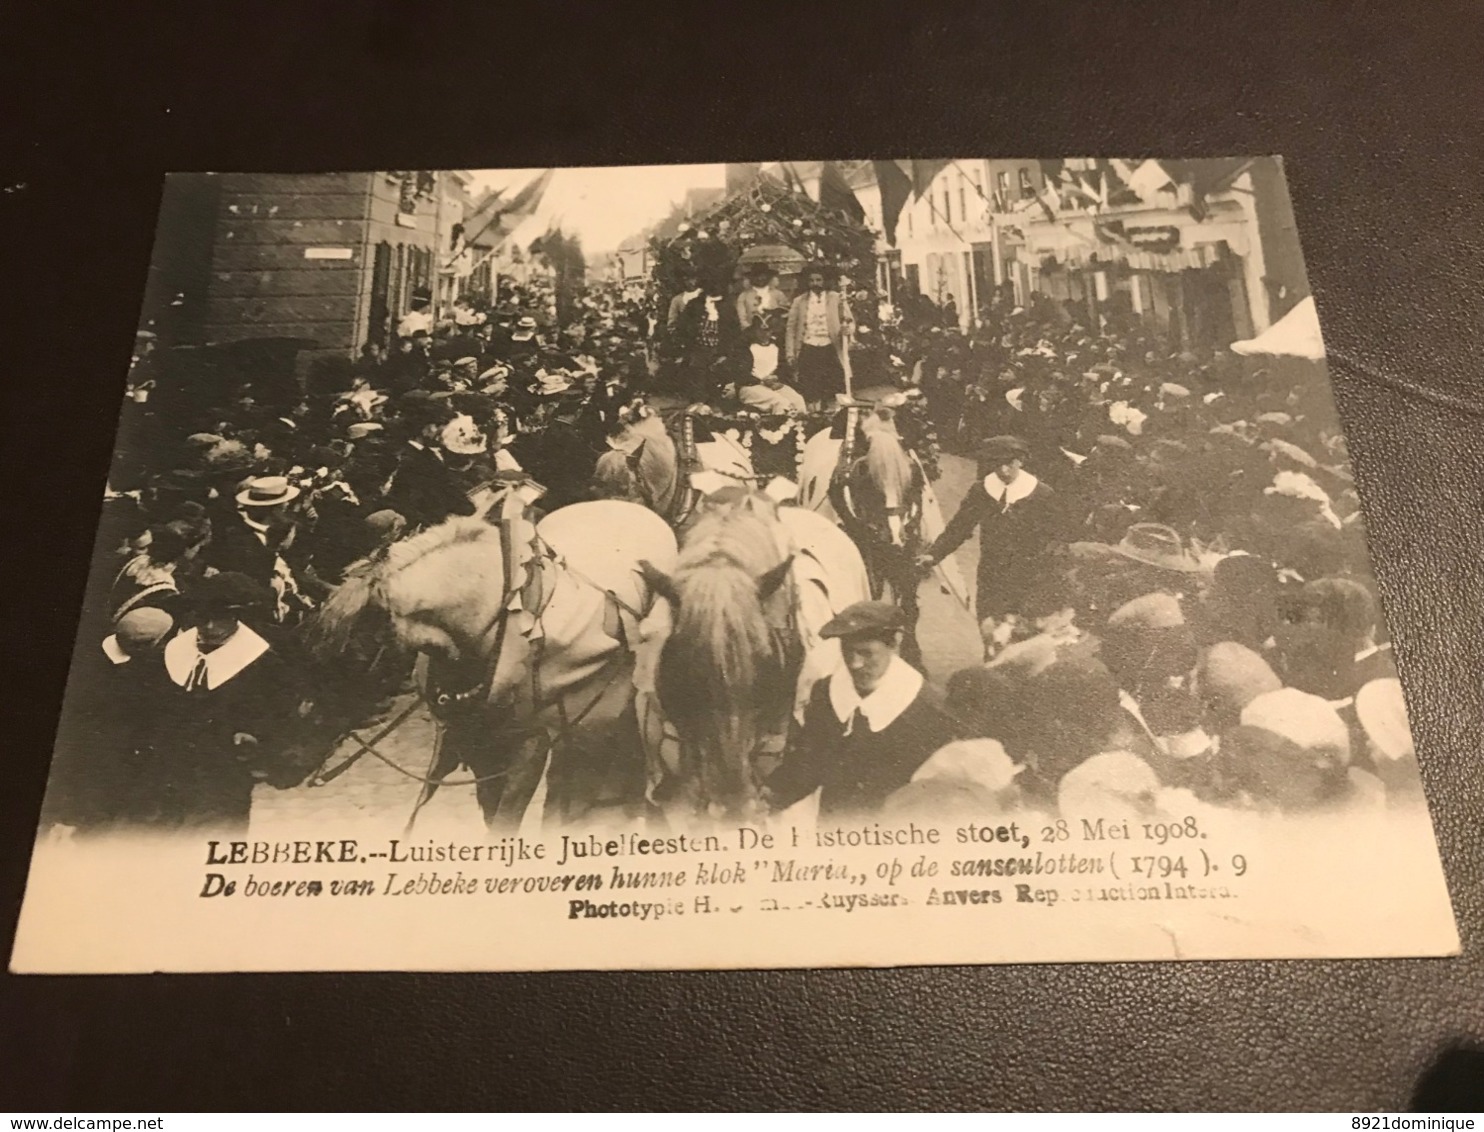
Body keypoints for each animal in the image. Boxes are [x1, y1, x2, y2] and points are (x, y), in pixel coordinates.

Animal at [307, 489, 679, 830]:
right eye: (316, 644)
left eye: (357, 653)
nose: (302, 755)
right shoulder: (475, 742)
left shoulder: (530, 746)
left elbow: (505, 821)